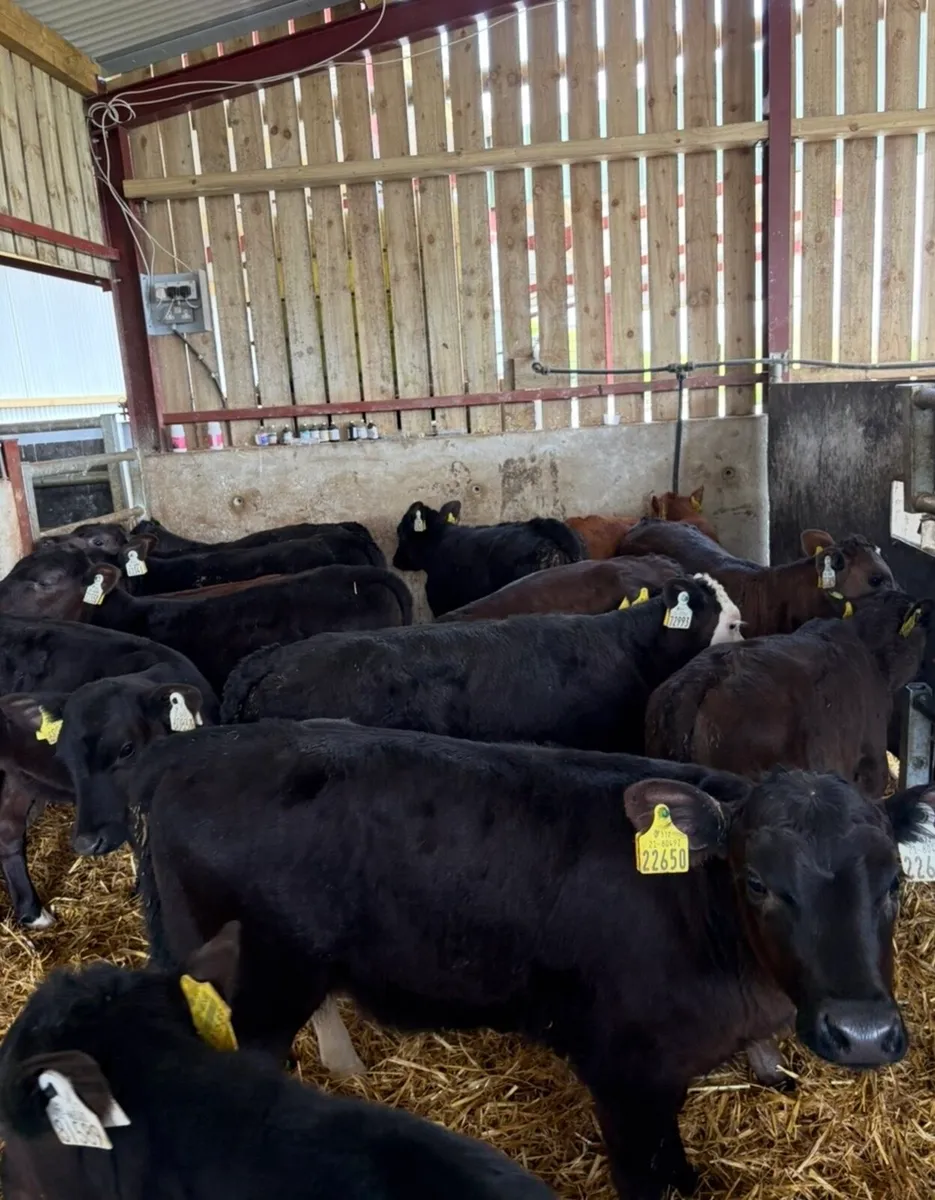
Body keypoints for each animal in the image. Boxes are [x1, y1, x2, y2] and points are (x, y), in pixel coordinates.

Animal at [74, 717, 927, 1200]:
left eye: (892, 880)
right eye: (756, 882)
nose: (859, 1033)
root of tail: (185, 751)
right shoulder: (626, 1072)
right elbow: (647, 1175)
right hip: (248, 989)